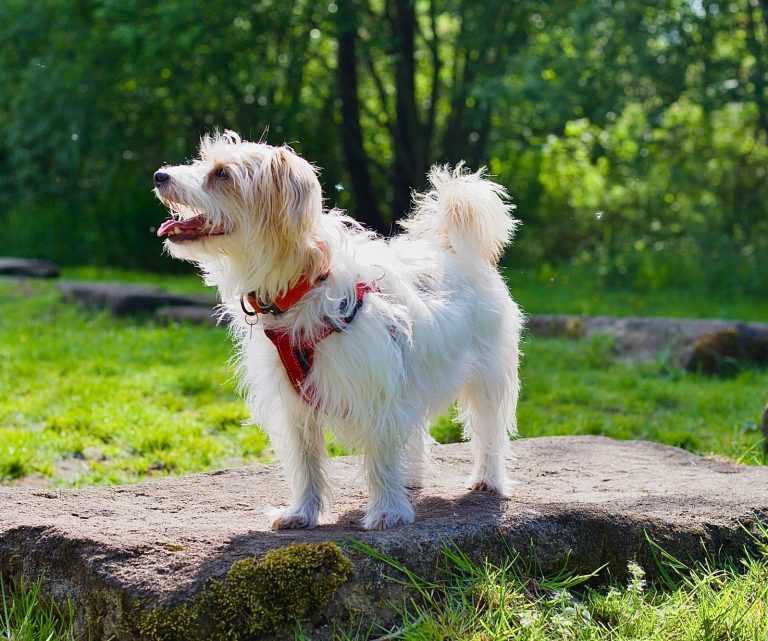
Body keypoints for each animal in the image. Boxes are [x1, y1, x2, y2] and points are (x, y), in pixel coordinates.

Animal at [152, 131, 520, 528]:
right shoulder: (296, 404)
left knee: (489, 429)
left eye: (222, 173)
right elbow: (306, 462)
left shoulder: (377, 390)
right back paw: (411, 477)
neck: (302, 286)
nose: (159, 175)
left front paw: (387, 510)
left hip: (487, 377)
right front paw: (302, 511)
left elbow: (380, 453)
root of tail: (450, 246)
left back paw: (487, 479)